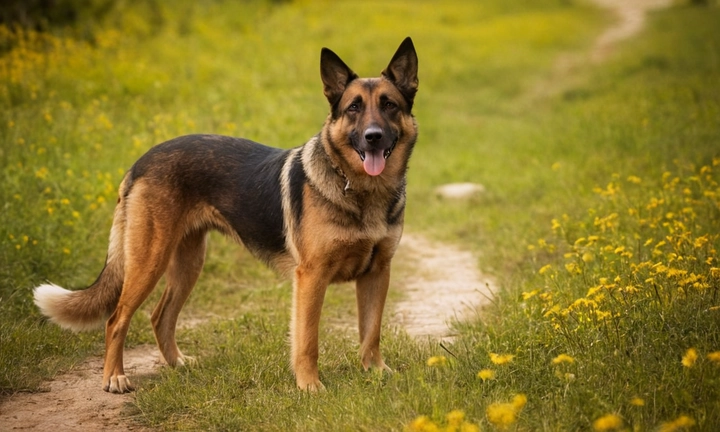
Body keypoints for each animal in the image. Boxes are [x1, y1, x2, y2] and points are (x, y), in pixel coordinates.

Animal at [33, 38, 420, 394]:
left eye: (389, 105)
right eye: (354, 107)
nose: (373, 137)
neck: (362, 190)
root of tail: (140, 162)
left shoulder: (377, 273)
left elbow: (371, 332)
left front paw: (376, 373)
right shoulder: (311, 277)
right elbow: (308, 341)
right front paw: (310, 387)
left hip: (188, 263)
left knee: (160, 316)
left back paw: (178, 364)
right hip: (148, 262)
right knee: (116, 319)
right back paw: (114, 377)